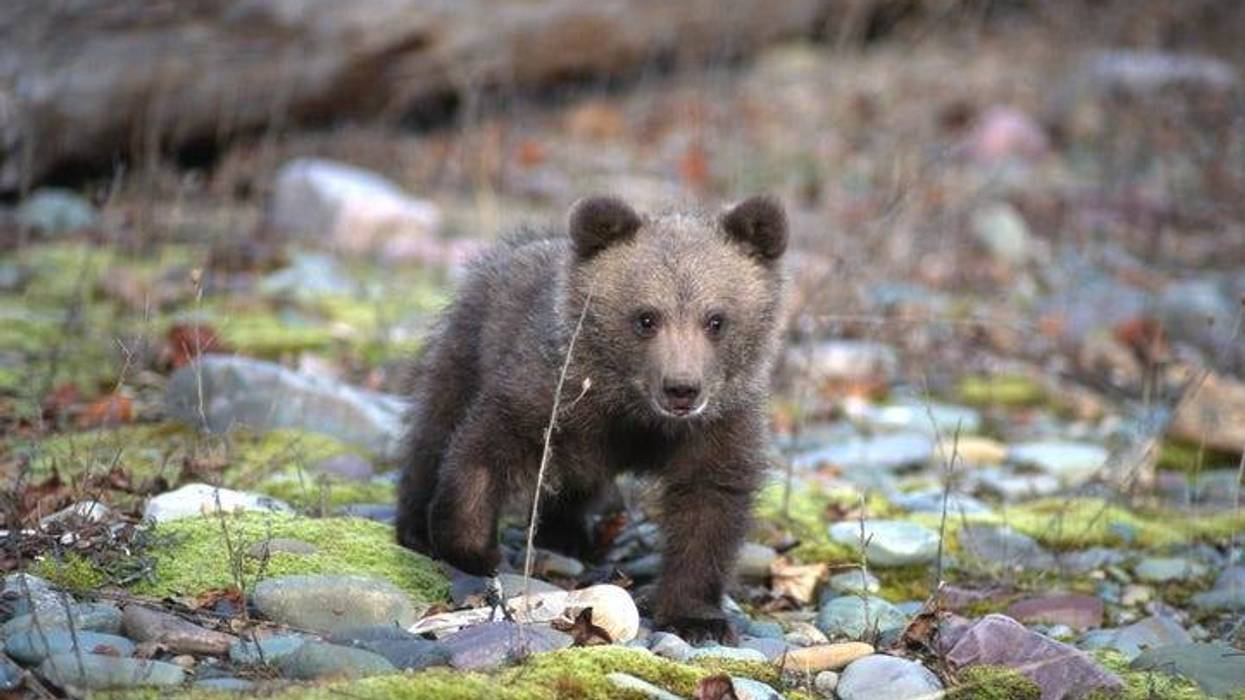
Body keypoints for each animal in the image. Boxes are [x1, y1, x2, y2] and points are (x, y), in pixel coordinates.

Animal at [395, 195, 787, 642]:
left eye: (716, 320)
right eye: (646, 317)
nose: (682, 388)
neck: (635, 411)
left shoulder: (715, 427)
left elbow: (708, 506)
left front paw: (697, 620)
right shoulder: (553, 393)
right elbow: (486, 446)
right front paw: (474, 548)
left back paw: (566, 534)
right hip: (470, 343)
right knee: (436, 424)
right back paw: (415, 527)